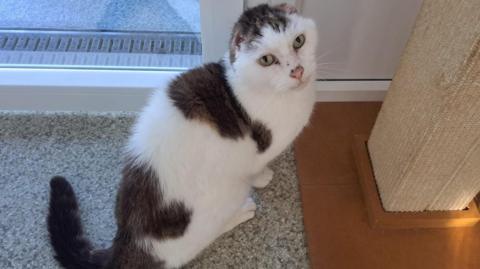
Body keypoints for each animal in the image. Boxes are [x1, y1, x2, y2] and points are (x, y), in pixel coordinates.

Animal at [47, 3, 318, 266]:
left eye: (298, 41)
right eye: (267, 59)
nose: (297, 70)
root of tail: (130, 238)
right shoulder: (259, 153)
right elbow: (258, 168)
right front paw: (263, 177)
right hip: (229, 192)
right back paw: (242, 211)